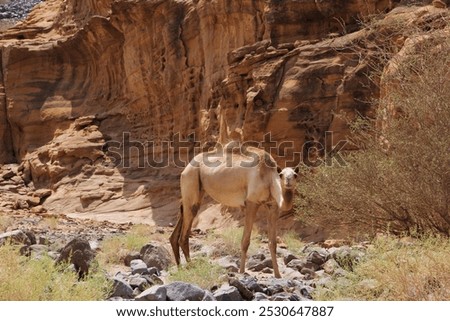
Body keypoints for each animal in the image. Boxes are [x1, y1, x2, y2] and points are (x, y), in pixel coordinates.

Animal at [169, 142, 298, 278]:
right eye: (281, 175)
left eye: (295, 175)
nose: (288, 182)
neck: (268, 176)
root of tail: (187, 166)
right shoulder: (251, 203)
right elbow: (245, 241)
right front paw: (241, 271)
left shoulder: (272, 206)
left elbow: (273, 243)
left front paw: (278, 275)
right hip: (191, 178)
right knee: (184, 233)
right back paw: (191, 268)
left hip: (197, 190)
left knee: (182, 216)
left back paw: (180, 267)